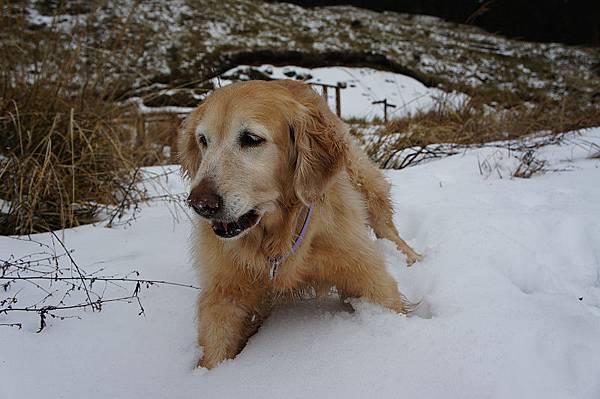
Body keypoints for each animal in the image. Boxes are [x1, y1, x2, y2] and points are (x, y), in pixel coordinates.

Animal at [178, 79, 422, 370]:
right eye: (203, 140)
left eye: (251, 139)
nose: (200, 204)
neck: (275, 236)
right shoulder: (224, 293)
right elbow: (214, 350)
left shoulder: (363, 269)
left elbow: (385, 296)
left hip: (365, 181)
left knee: (388, 228)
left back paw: (412, 256)